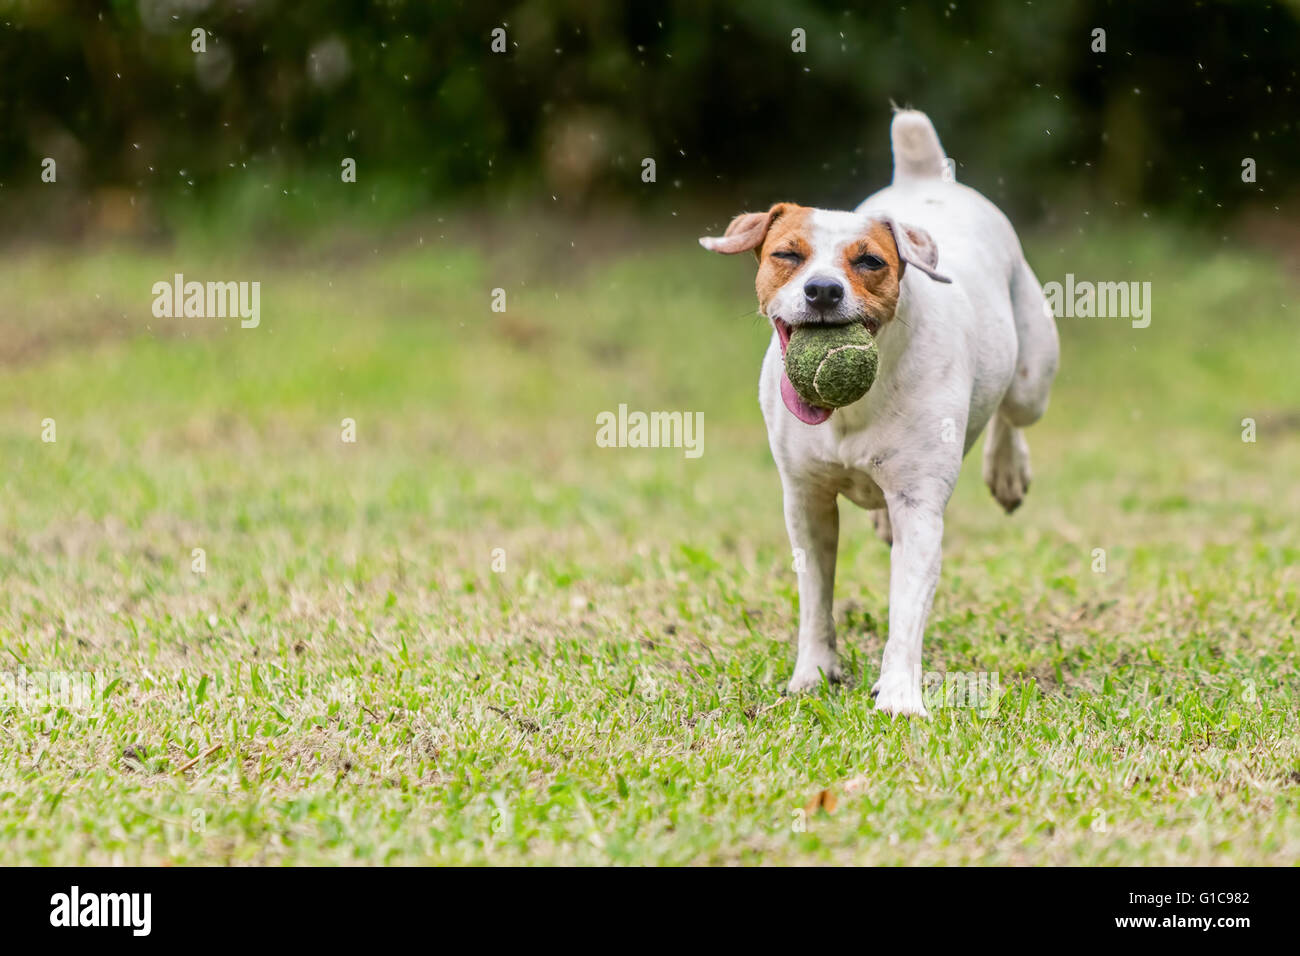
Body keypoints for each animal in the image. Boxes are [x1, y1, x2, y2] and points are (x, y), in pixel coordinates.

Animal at [702, 108, 1055, 712]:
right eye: (787, 255)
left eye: (869, 261)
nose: (822, 290)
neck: (850, 411)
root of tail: (925, 178)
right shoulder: (806, 499)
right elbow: (816, 598)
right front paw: (813, 672)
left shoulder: (921, 506)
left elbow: (906, 609)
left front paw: (898, 694)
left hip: (1032, 376)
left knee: (1013, 414)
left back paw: (1008, 471)